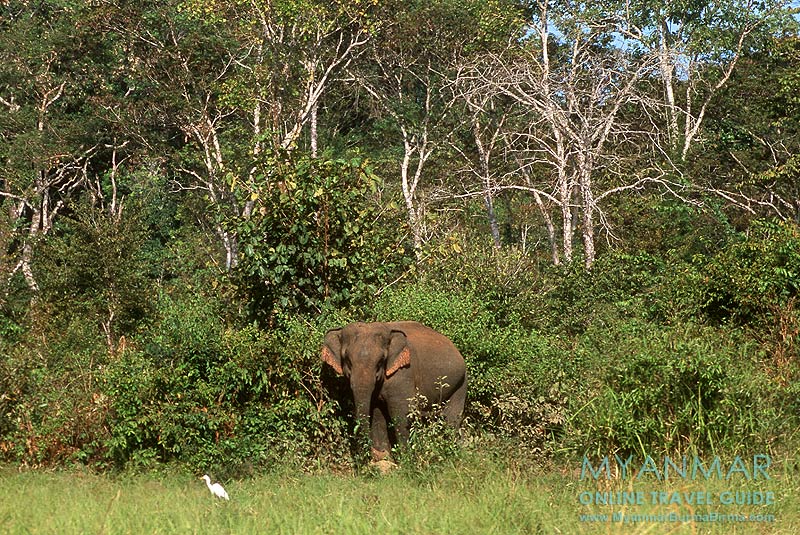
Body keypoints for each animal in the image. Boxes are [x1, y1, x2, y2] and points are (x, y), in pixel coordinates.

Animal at [321, 321, 467, 460]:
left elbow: (401, 412)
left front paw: (406, 459)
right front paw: (385, 457)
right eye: (347, 360)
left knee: (451, 419)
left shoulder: (403, 373)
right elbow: (377, 413)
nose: (375, 453)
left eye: (381, 361)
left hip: (461, 383)